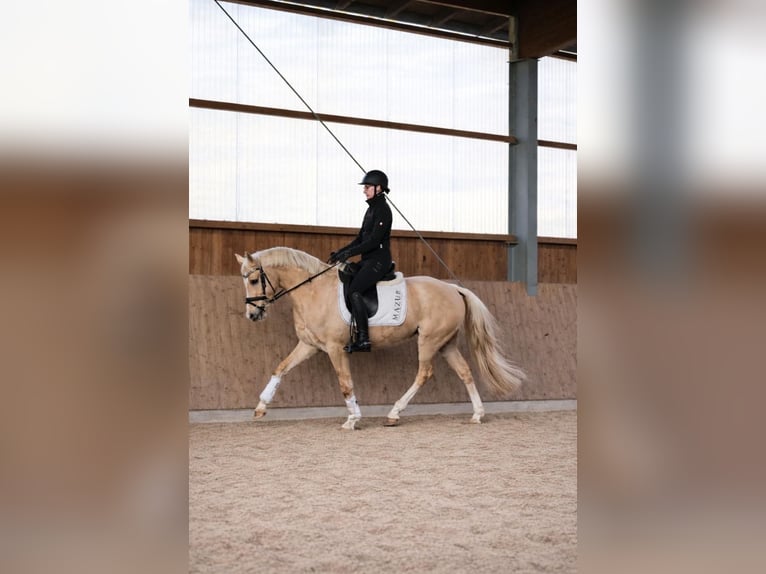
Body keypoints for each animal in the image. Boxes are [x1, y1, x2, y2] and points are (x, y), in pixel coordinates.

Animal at [235, 247, 526, 430]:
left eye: (253, 280)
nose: (252, 314)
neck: (314, 290)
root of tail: (453, 288)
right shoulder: (309, 345)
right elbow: (281, 368)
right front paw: (260, 407)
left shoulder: (334, 348)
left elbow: (345, 383)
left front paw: (353, 419)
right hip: (446, 343)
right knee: (464, 371)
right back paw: (477, 415)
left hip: (429, 340)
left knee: (424, 373)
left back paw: (394, 413)